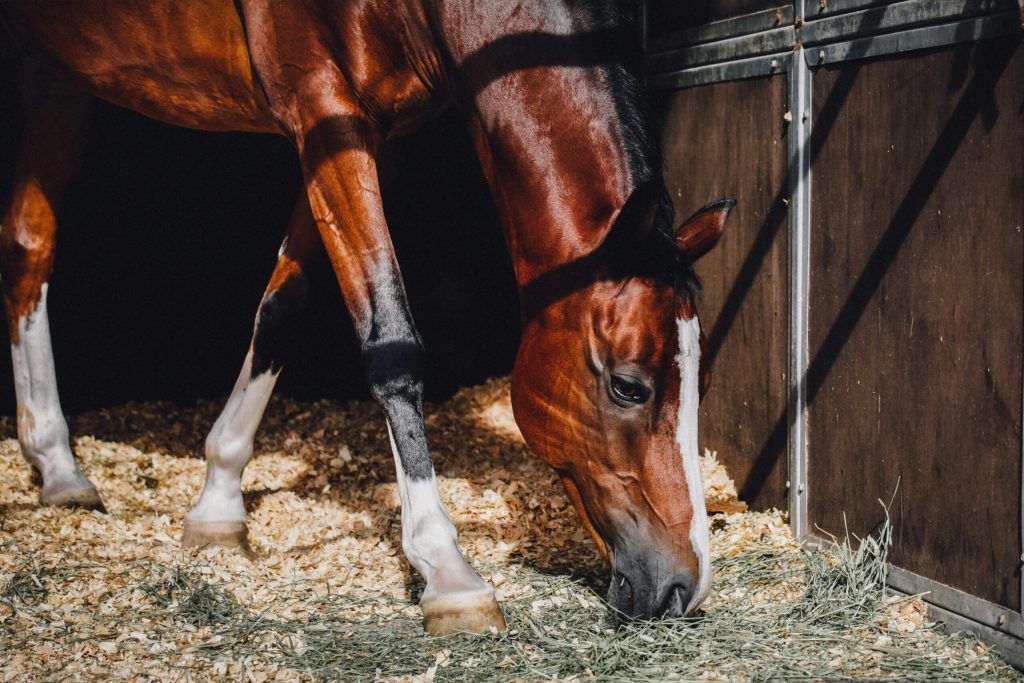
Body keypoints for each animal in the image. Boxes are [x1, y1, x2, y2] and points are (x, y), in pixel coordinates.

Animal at [2, 1, 737, 634]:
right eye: (628, 385)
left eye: (701, 384)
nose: (685, 585)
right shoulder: (324, 108)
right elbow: (391, 341)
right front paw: (447, 571)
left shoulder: (348, 132)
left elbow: (282, 308)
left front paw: (219, 500)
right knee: (31, 251)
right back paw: (56, 457)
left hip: (51, 72)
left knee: (28, 245)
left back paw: (57, 465)